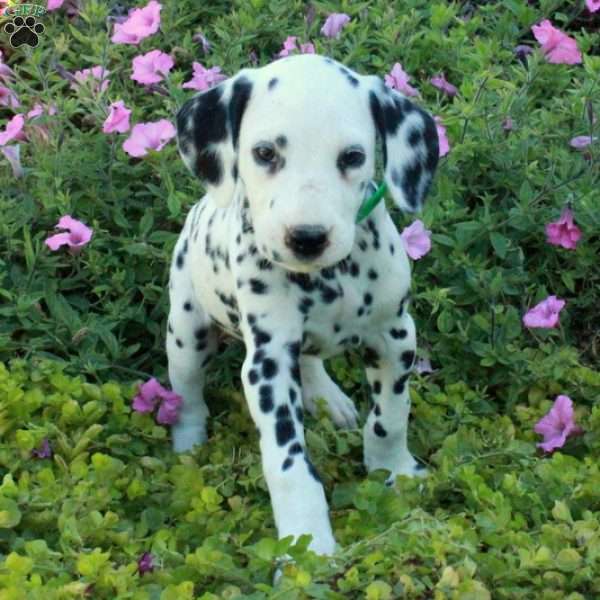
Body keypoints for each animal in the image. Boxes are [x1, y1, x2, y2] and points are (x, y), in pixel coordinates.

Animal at [166, 54, 438, 556]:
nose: (307, 238)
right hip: (186, 333)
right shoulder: (268, 365)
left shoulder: (395, 336)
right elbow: (289, 466)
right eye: (265, 153)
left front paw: (395, 471)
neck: (329, 279)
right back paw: (188, 443)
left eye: (352, 157)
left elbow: (391, 418)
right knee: (187, 393)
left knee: (310, 360)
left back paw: (328, 397)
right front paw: (307, 544)